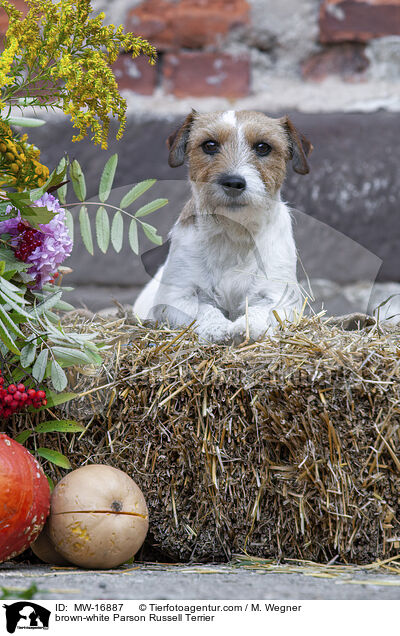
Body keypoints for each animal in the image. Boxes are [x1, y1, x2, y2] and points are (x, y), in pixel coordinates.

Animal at [134, 112, 312, 346]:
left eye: (263, 147)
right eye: (209, 145)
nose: (233, 182)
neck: (233, 233)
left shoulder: (280, 298)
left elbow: (260, 310)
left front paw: (248, 328)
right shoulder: (175, 297)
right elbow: (202, 308)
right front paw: (216, 328)